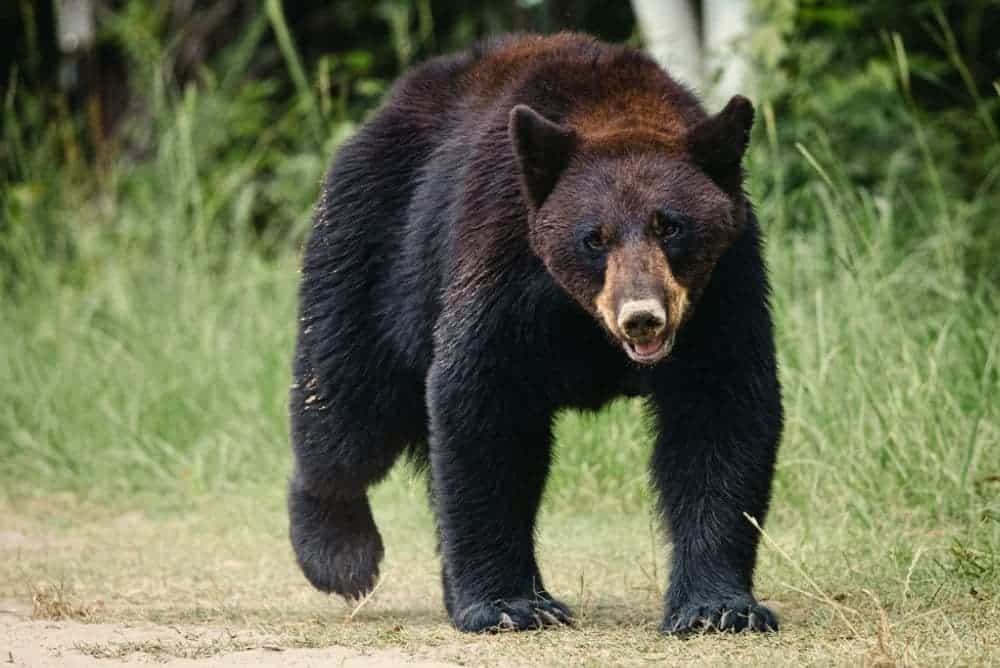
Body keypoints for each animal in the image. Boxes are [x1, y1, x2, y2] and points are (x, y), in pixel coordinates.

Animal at [288, 32, 782, 635]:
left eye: (671, 226)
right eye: (594, 237)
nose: (642, 316)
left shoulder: (724, 292)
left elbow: (722, 412)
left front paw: (719, 607)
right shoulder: (503, 262)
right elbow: (484, 406)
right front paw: (510, 604)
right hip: (373, 250)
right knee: (348, 408)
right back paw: (339, 554)